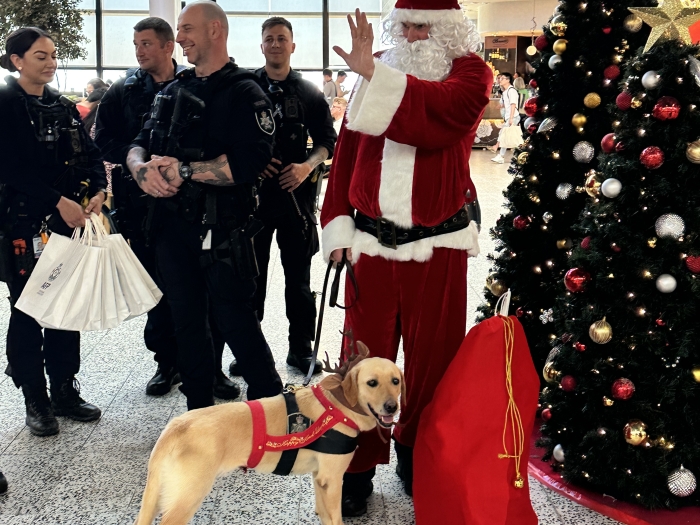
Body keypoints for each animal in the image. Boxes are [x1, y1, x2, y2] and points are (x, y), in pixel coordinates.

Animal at [135, 342, 404, 520]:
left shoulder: (320, 479)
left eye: (396, 381)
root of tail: (174, 428)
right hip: (187, 496)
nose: (393, 407)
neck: (337, 405)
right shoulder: (332, 479)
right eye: (371, 383)